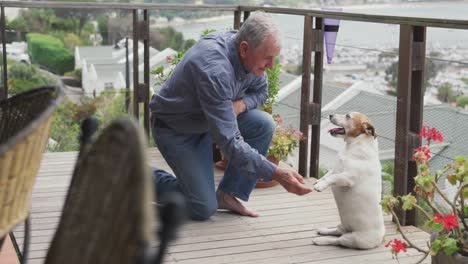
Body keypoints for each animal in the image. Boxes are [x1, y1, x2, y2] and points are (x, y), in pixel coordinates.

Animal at [312, 111, 386, 250]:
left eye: (347, 116)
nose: (330, 115)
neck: (353, 146)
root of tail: (381, 239)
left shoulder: (347, 177)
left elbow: (332, 177)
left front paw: (320, 186)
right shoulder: (337, 168)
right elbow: (328, 174)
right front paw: (319, 181)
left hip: (352, 239)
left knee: (337, 240)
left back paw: (321, 240)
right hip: (343, 226)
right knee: (337, 231)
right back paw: (324, 230)